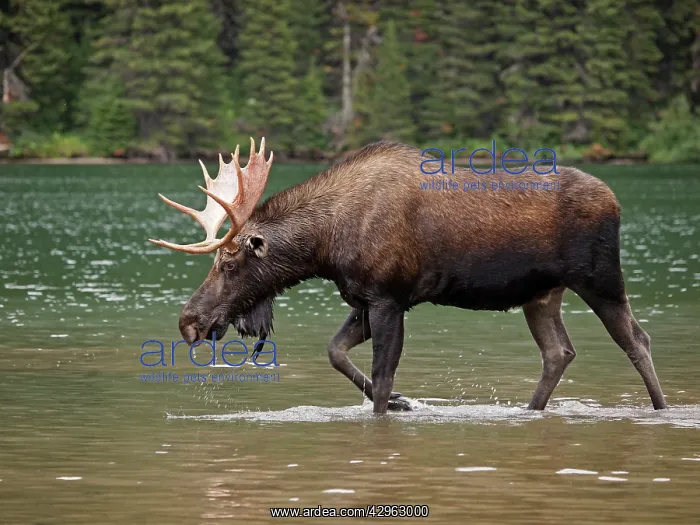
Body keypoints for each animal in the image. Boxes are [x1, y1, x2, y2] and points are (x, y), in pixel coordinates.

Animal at [149, 138, 668, 414]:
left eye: (229, 263)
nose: (189, 322)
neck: (323, 246)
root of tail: (615, 200)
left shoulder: (389, 297)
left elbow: (380, 377)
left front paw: (391, 402)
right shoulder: (362, 298)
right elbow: (336, 352)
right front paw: (404, 401)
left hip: (599, 278)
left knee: (636, 339)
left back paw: (662, 408)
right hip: (541, 293)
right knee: (559, 352)